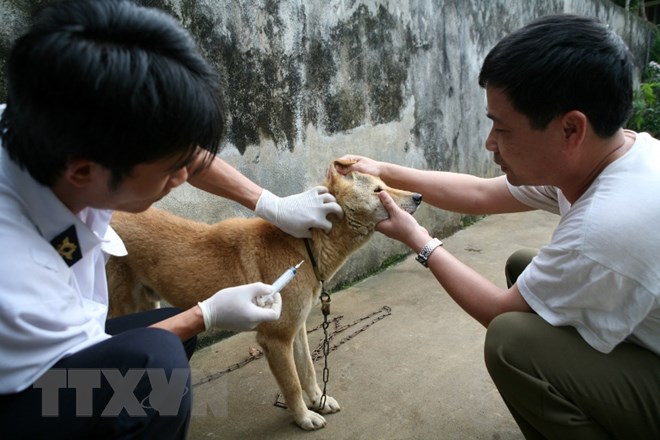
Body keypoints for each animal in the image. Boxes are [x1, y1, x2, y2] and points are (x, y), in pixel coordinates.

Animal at [105, 161, 420, 430]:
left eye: (385, 184)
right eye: (378, 191)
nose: (418, 196)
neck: (305, 243)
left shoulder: (297, 330)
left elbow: (308, 371)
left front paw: (317, 401)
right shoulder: (276, 339)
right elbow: (292, 384)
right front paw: (304, 417)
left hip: (148, 300)